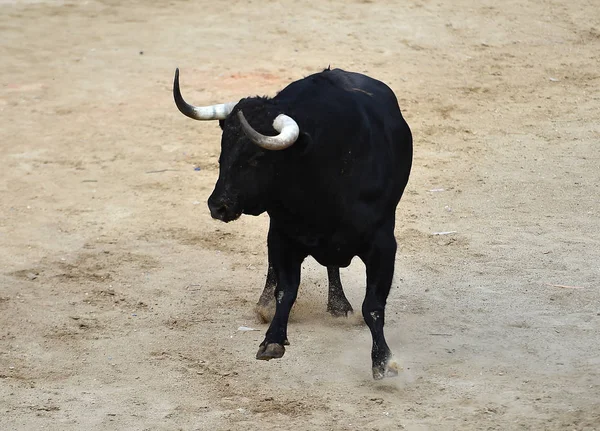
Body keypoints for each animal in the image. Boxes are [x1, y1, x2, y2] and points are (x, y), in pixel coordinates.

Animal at [173, 66, 412, 378]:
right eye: (223, 149)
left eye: (257, 157)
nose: (218, 206)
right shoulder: (282, 236)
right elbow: (285, 290)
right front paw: (272, 339)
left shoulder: (383, 245)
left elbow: (372, 305)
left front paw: (383, 361)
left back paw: (339, 305)